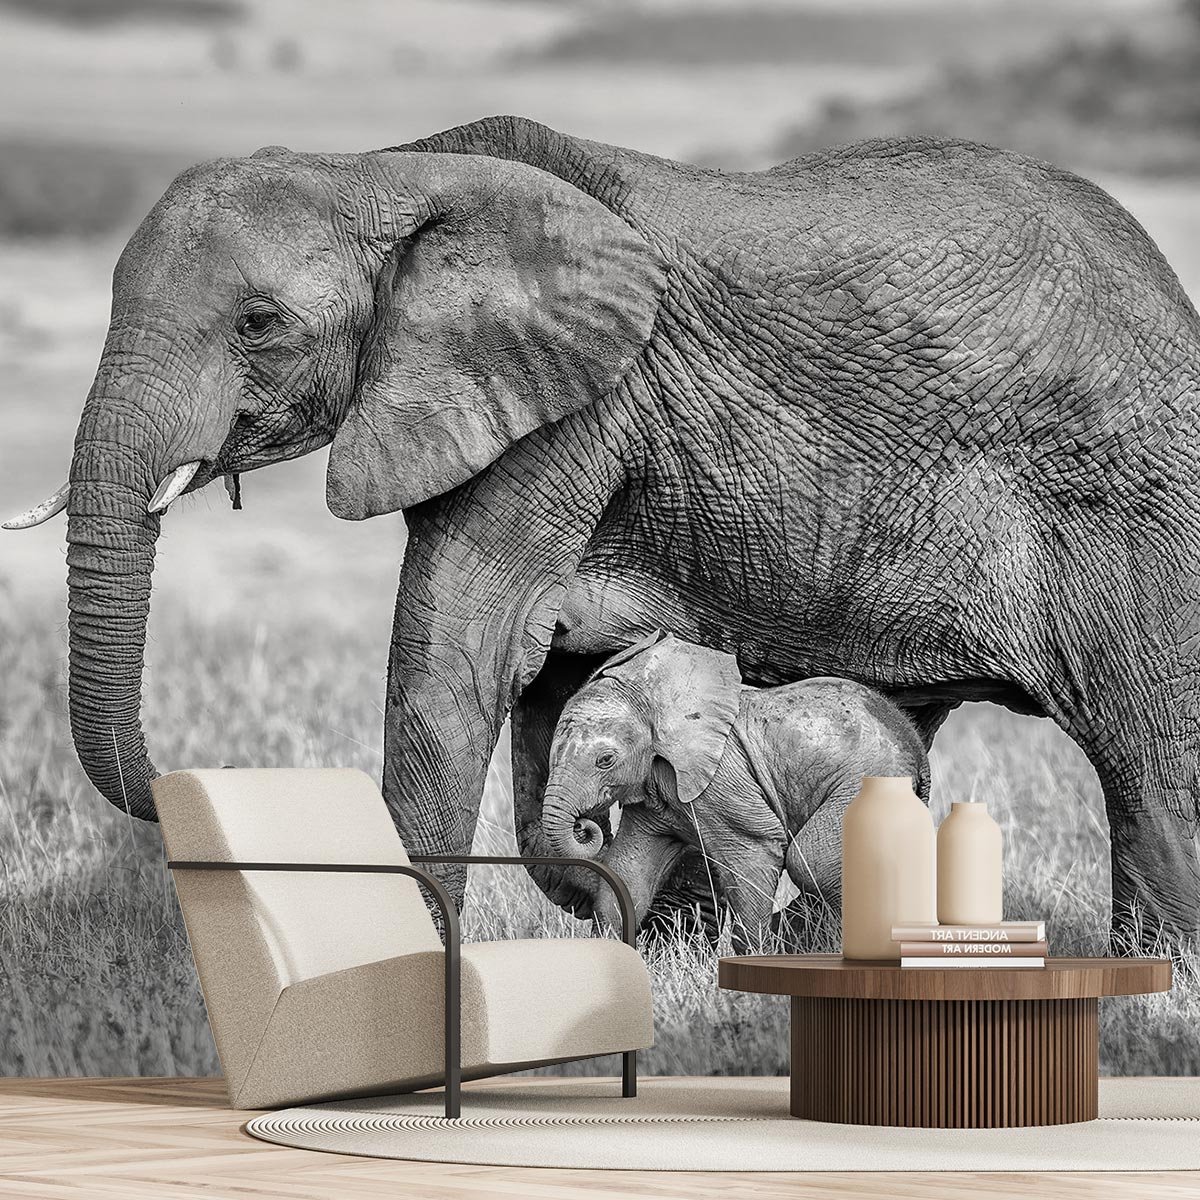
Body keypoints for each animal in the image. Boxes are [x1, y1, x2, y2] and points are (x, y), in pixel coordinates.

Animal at [539, 633, 929, 949]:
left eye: (605, 760)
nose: (585, 826)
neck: (654, 700)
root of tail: (915, 746)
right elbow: (628, 873)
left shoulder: (723, 782)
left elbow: (753, 855)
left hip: (868, 779)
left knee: (811, 859)